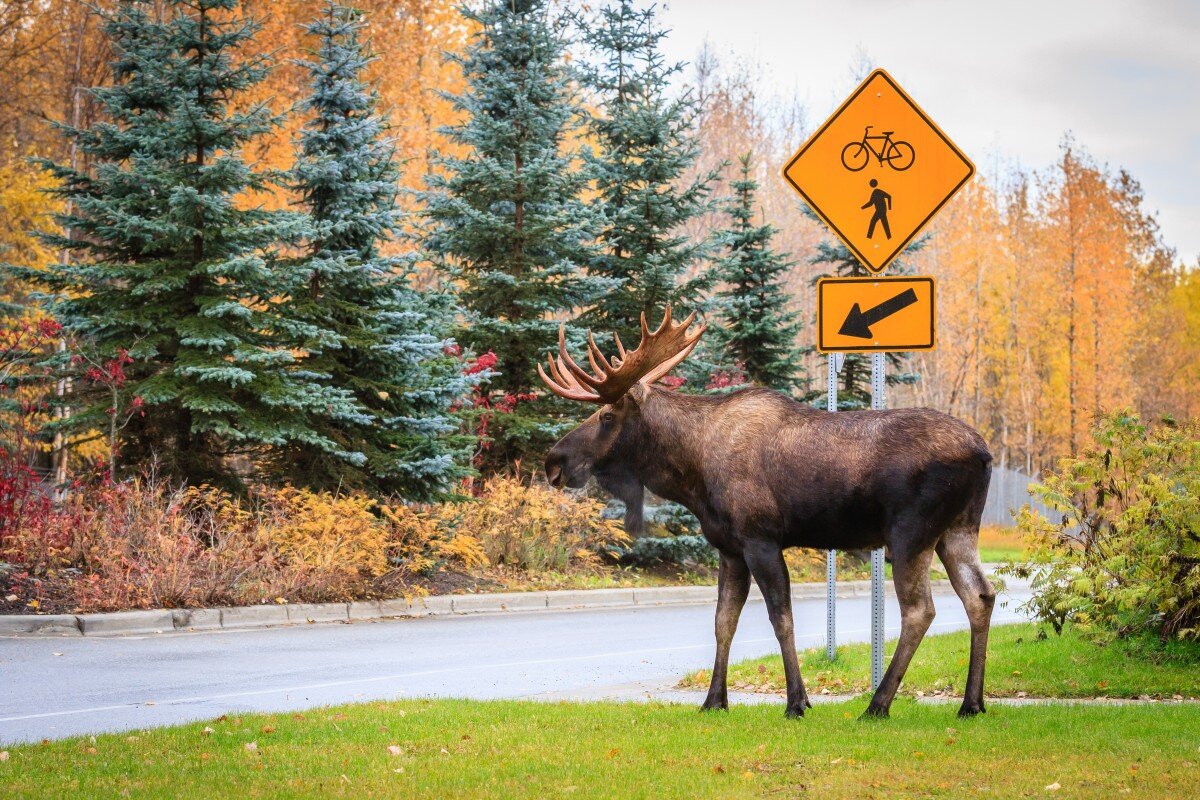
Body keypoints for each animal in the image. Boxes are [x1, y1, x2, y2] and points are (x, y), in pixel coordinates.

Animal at [542, 307, 993, 719]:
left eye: (606, 415)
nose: (553, 462)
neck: (692, 474)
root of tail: (985, 453)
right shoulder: (729, 548)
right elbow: (723, 621)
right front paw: (714, 700)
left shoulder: (760, 538)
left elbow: (781, 618)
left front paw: (797, 702)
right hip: (958, 529)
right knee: (980, 595)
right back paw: (971, 704)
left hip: (911, 533)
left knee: (920, 610)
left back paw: (878, 704)